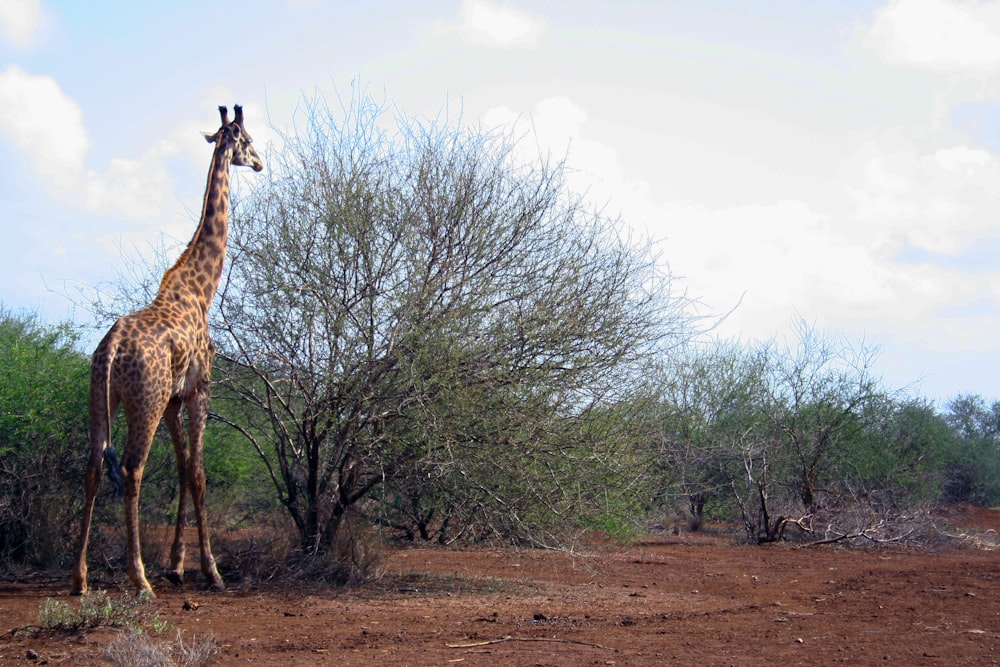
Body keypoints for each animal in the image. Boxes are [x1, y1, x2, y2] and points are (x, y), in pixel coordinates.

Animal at [72, 105, 264, 600]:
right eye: (247, 139)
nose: (260, 163)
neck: (200, 289)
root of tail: (112, 349)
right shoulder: (199, 388)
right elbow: (198, 471)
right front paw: (210, 571)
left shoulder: (175, 398)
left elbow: (181, 467)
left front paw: (177, 565)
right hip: (146, 400)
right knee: (132, 470)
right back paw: (138, 579)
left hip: (103, 397)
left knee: (93, 466)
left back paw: (79, 578)